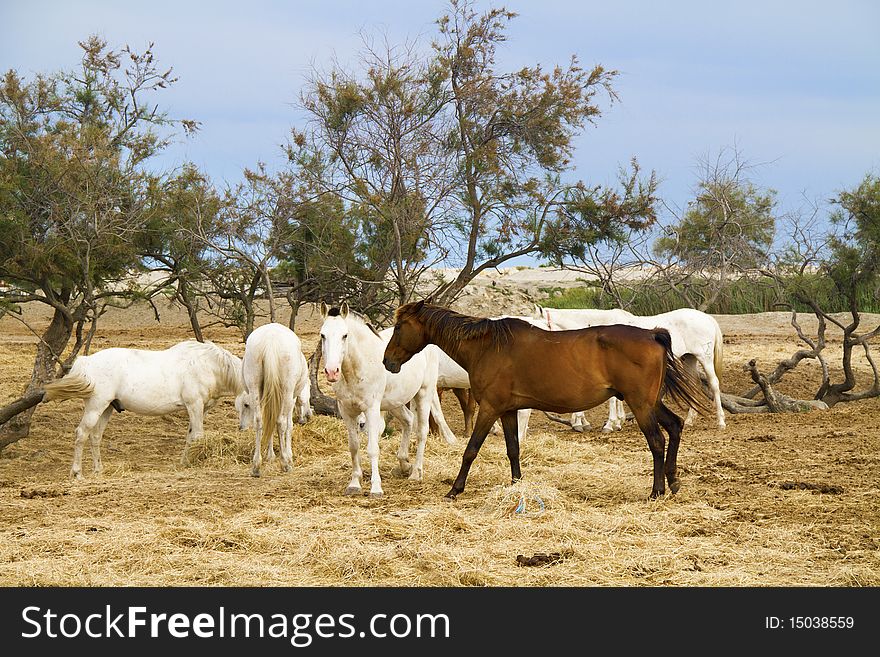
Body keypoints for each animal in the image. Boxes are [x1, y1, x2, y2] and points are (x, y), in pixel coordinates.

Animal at [43, 338, 246, 476]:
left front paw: (184, 463)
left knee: (95, 436)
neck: (208, 364)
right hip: (96, 406)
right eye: (245, 404)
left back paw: (98, 470)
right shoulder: (194, 405)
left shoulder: (199, 409)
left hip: (107, 408)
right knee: (81, 434)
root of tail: (87, 361)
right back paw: (77, 473)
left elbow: (190, 437)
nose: (244, 428)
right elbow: (197, 436)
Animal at [237, 322, 312, 476]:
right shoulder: (292, 399)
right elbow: (289, 425)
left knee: (259, 421)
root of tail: (270, 341)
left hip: (255, 388)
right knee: (281, 422)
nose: (308, 417)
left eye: (245, 405)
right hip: (287, 393)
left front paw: (270, 455)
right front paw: (288, 455)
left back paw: (256, 466)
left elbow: (268, 422)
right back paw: (285, 463)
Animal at [318, 302, 454, 498]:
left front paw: (376, 488)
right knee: (408, 420)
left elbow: (373, 448)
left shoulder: (372, 410)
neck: (358, 367)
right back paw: (404, 464)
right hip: (395, 402)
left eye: (345, 335)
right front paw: (354, 484)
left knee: (422, 431)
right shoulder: (347, 411)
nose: (331, 371)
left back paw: (415, 473)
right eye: (323, 335)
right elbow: (354, 447)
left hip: (424, 393)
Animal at [532, 304, 724, 430]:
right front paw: (617, 421)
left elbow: (612, 399)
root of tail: (707, 317)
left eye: (536, 326)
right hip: (688, 359)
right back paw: (691, 420)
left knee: (713, 384)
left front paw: (610, 424)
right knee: (694, 386)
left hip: (704, 358)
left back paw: (720, 421)